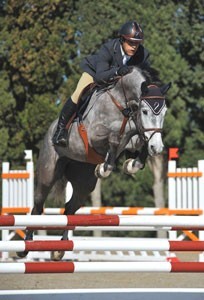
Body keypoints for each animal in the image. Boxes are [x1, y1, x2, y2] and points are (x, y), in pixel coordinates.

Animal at [17, 67, 171, 258]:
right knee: (38, 206)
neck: (123, 104)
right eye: (145, 111)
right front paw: (105, 168)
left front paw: (131, 164)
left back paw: (60, 249)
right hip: (47, 174)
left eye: (164, 112)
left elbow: (139, 140)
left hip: (84, 184)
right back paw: (26, 245)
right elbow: (114, 138)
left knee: (70, 209)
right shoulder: (94, 135)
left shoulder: (133, 136)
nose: (157, 148)